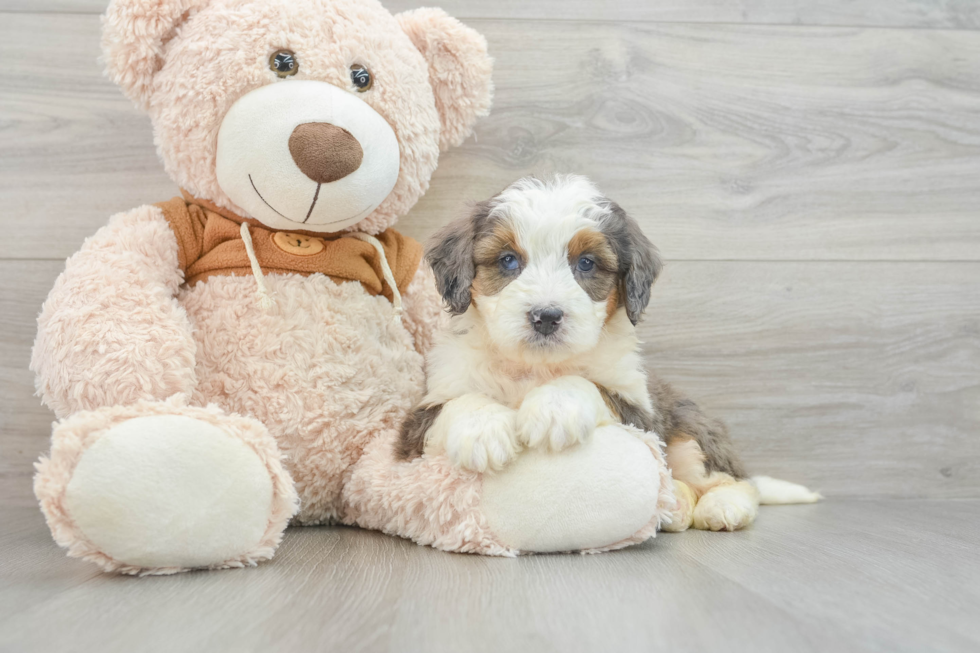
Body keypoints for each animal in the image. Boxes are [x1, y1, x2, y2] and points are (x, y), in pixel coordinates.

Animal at [394, 173, 816, 528]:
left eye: (586, 263)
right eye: (508, 260)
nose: (546, 317)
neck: (535, 367)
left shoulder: (640, 413)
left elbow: (590, 386)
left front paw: (554, 407)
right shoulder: (416, 425)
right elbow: (457, 402)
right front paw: (482, 430)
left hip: (689, 432)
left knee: (736, 480)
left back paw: (721, 506)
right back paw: (677, 505)